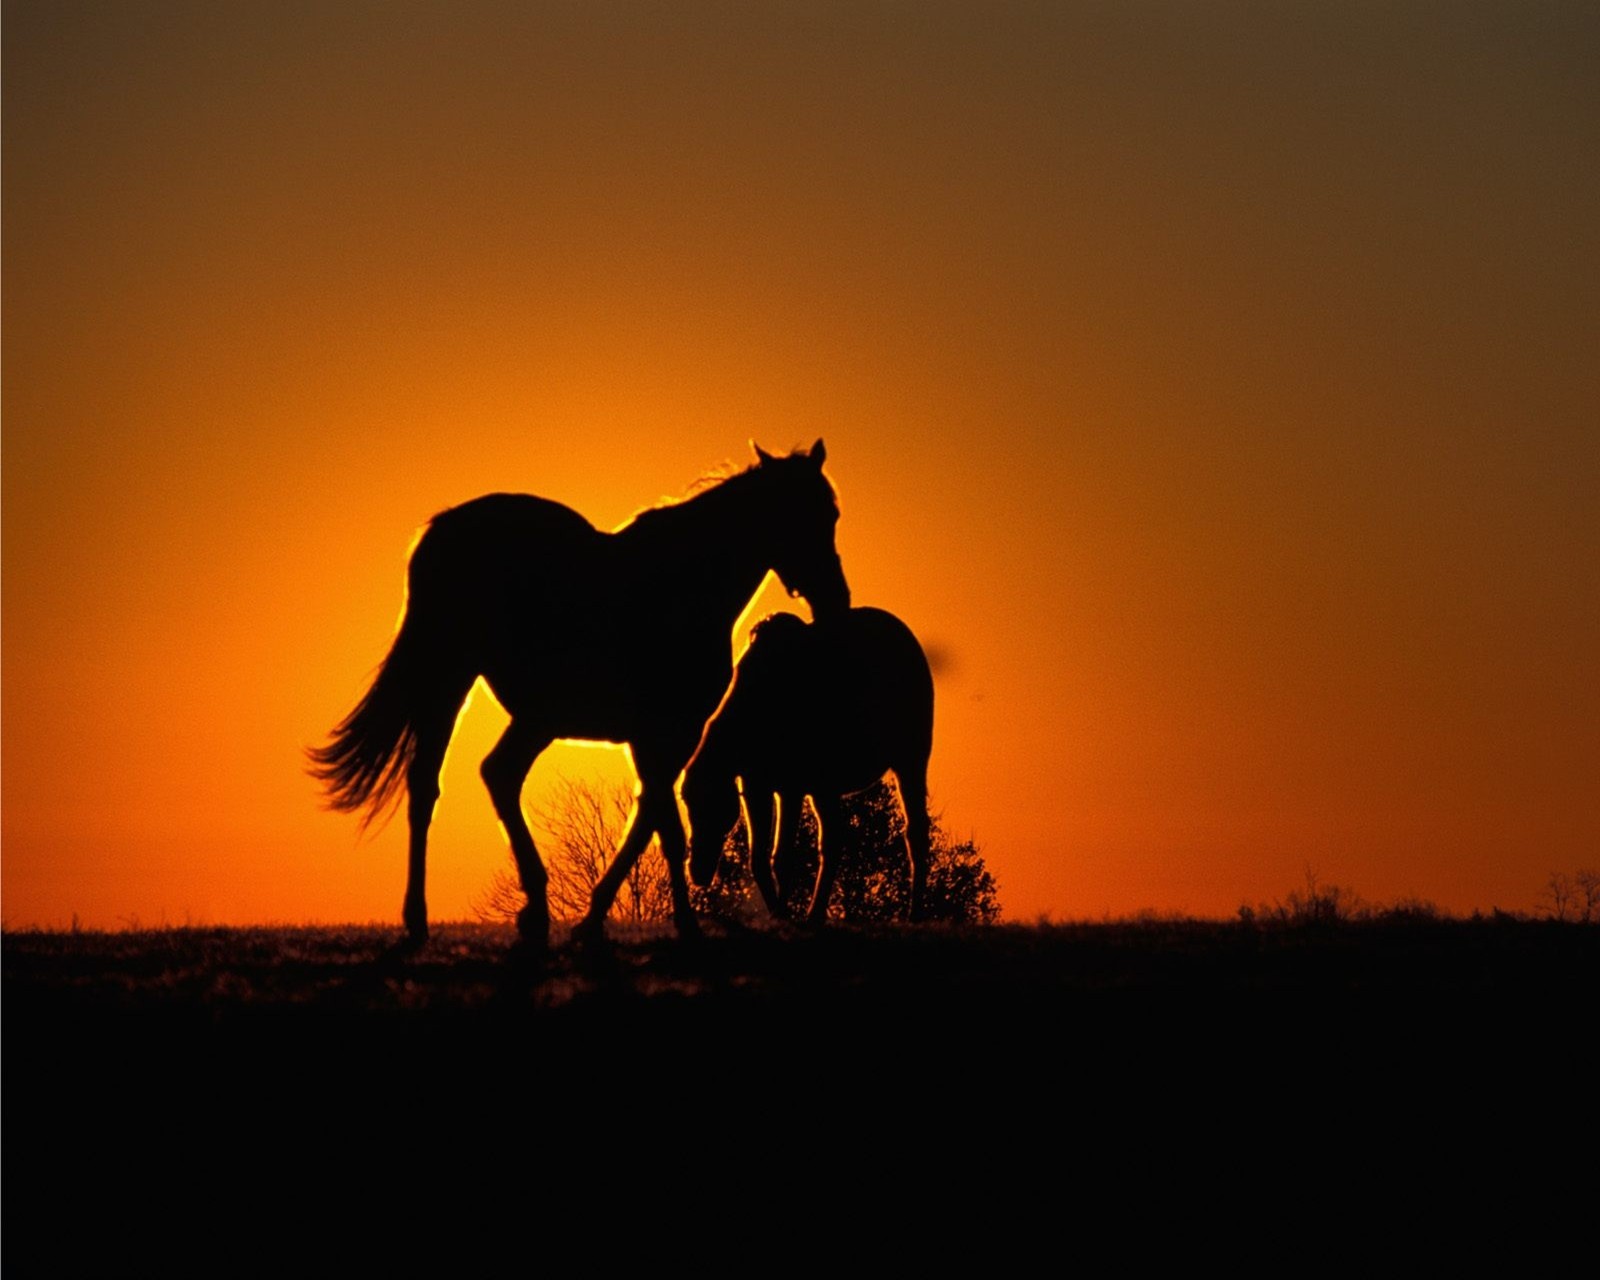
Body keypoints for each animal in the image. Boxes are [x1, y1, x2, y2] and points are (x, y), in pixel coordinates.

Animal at [316, 441, 857, 947]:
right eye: (802, 512)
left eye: (832, 514)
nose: (836, 598)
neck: (686, 586)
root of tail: (443, 528)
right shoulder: (669, 733)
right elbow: (667, 828)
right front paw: (682, 923)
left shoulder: (653, 739)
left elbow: (646, 821)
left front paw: (595, 918)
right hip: (457, 681)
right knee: (446, 782)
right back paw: (439, 915)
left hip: (528, 713)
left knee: (481, 776)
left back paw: (516, 911)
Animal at [681, 608, 934, 921]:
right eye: (686, 802)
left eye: (713, 805)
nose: (697, 870)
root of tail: (909, 640)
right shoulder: (756, 785)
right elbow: (758, 859)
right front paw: (779, 913)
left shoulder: (791, 786)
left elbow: (782, 857)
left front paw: (784, 914)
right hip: (826, 786)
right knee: (834, 840)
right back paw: (815, 913)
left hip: (911, 758)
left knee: (915, 832)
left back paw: (914, 912)